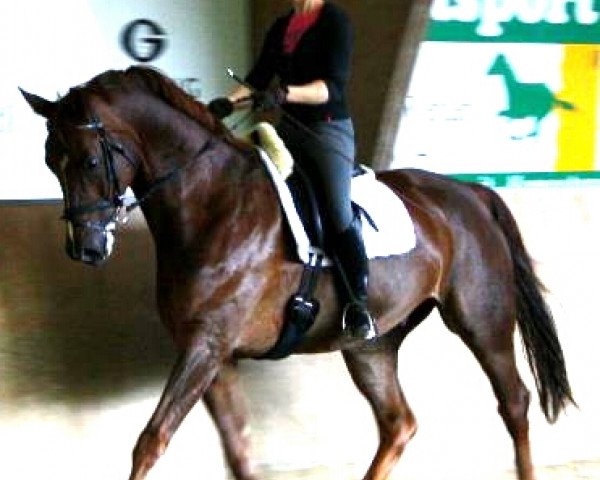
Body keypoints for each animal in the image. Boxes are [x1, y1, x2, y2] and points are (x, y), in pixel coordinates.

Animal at [21, 66, 576, 480]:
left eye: (90, 161)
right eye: (50, 161)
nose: (86, 249)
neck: (212, 204)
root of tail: (470, 192)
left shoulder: (206, 344)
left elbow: (152, 440)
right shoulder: (217, 357)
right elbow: (239, 453)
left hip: (481, 319)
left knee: (514, 403)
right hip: (371, 344)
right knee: (398, 423)